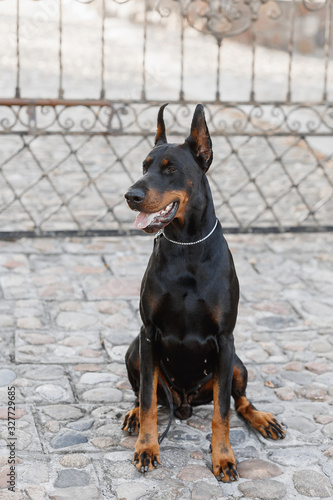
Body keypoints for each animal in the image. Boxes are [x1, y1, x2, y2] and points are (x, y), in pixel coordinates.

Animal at [123, 102, 284, 480]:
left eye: (171, 169)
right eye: (144, 166)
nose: (131, 196)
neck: (187, 248)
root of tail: (184, 404)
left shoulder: (225, 338)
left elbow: (222, 411)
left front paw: (223, 457)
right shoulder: (148, 333)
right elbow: (149, 399)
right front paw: (147, 448)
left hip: (237, 362)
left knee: (240, 400)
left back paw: (263, 419)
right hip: (135, 349)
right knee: (144, 393)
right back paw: (134, 416)